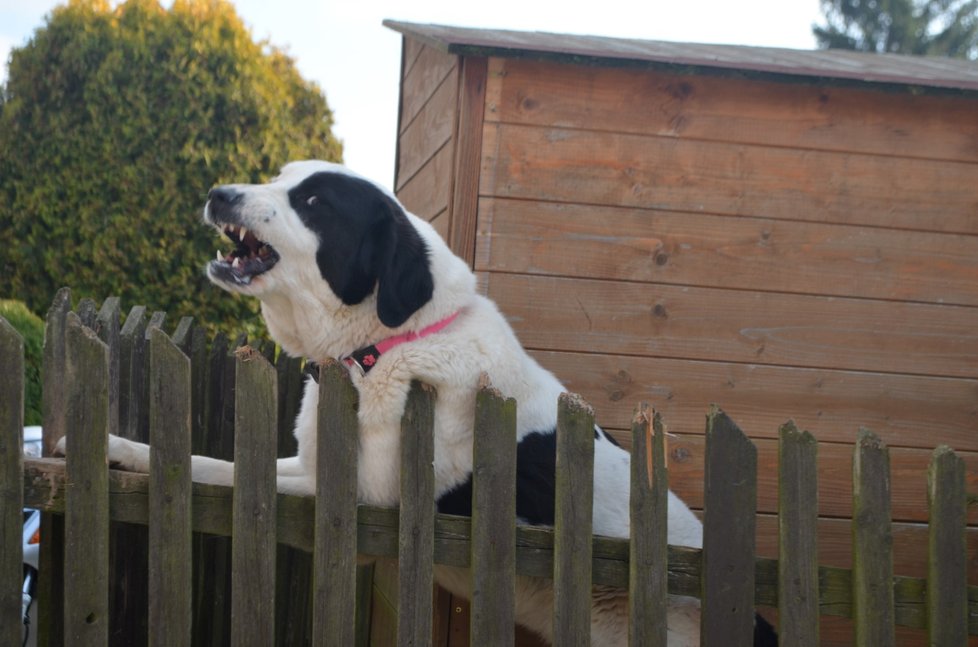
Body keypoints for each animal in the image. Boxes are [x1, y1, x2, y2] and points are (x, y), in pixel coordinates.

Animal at [65, 161, 772, 644]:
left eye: (313, 201)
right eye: (279, 178)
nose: (219, 194)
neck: (385, 347)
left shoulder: (356, 501)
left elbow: (228, 476)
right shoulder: (307, 467)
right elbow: (212, 463)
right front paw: (115, 447)